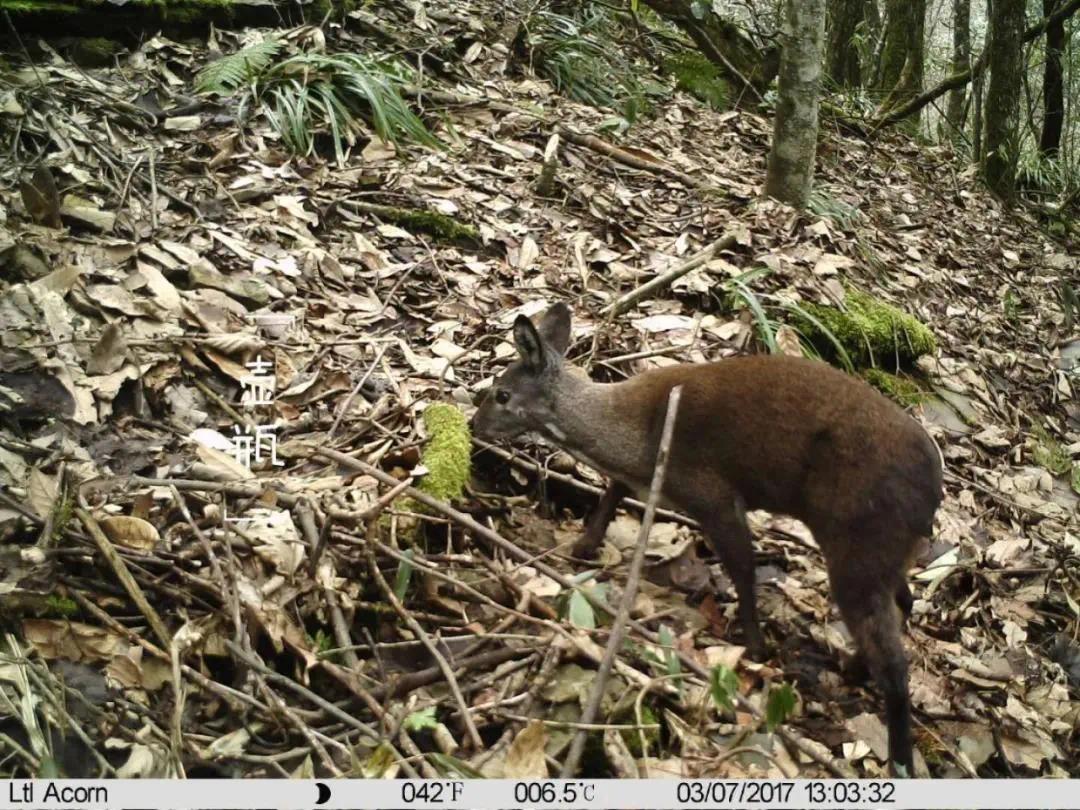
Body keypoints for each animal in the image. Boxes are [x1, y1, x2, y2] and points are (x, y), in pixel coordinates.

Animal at [475, 302, 946, 777]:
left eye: (501, 394)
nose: (474, 424)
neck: (635, 435)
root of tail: (934, 491)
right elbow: (614, 490)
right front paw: (584, 546)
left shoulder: (712, 495)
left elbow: (743, 568)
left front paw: (754, 647)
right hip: (884, 551)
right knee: (905, 602)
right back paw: (853, 668)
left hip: (859, 541)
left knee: (895, 662)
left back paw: (899, 758)